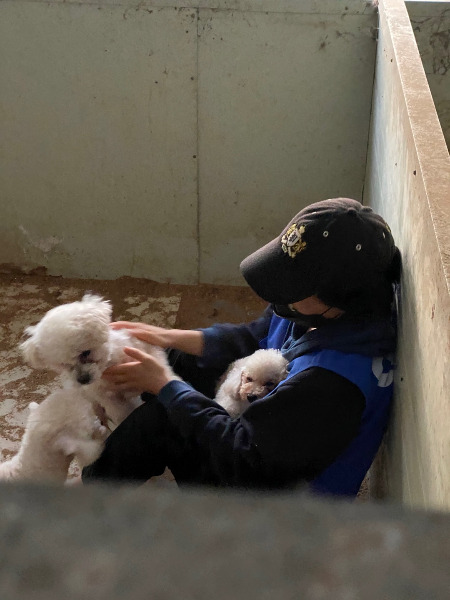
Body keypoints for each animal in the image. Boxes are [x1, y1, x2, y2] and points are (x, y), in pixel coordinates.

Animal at [20, 292, 179, 428]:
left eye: (85, 353)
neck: (110, 362)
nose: (83, 380)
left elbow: (163, 368)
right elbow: (122, 413)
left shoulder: (150, 350)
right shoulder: (107, 398)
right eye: (63, 364)